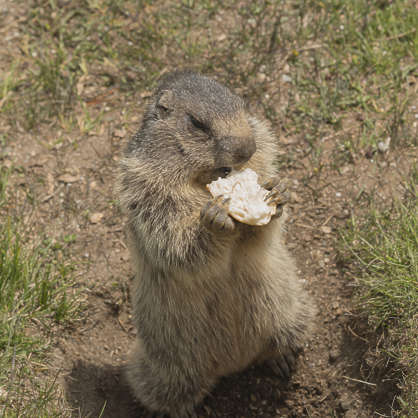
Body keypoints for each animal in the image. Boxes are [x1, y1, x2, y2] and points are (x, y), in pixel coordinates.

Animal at [117, 70, 314, 418]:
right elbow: (171, 238)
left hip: (293, 309)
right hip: (165, 367)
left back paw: (282, 357)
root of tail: (232, 365)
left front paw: (278, 193)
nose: (246, 147)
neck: (202, 180)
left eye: (244, 106)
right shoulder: (145, 189)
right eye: (197, 124)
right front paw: (214, 219)